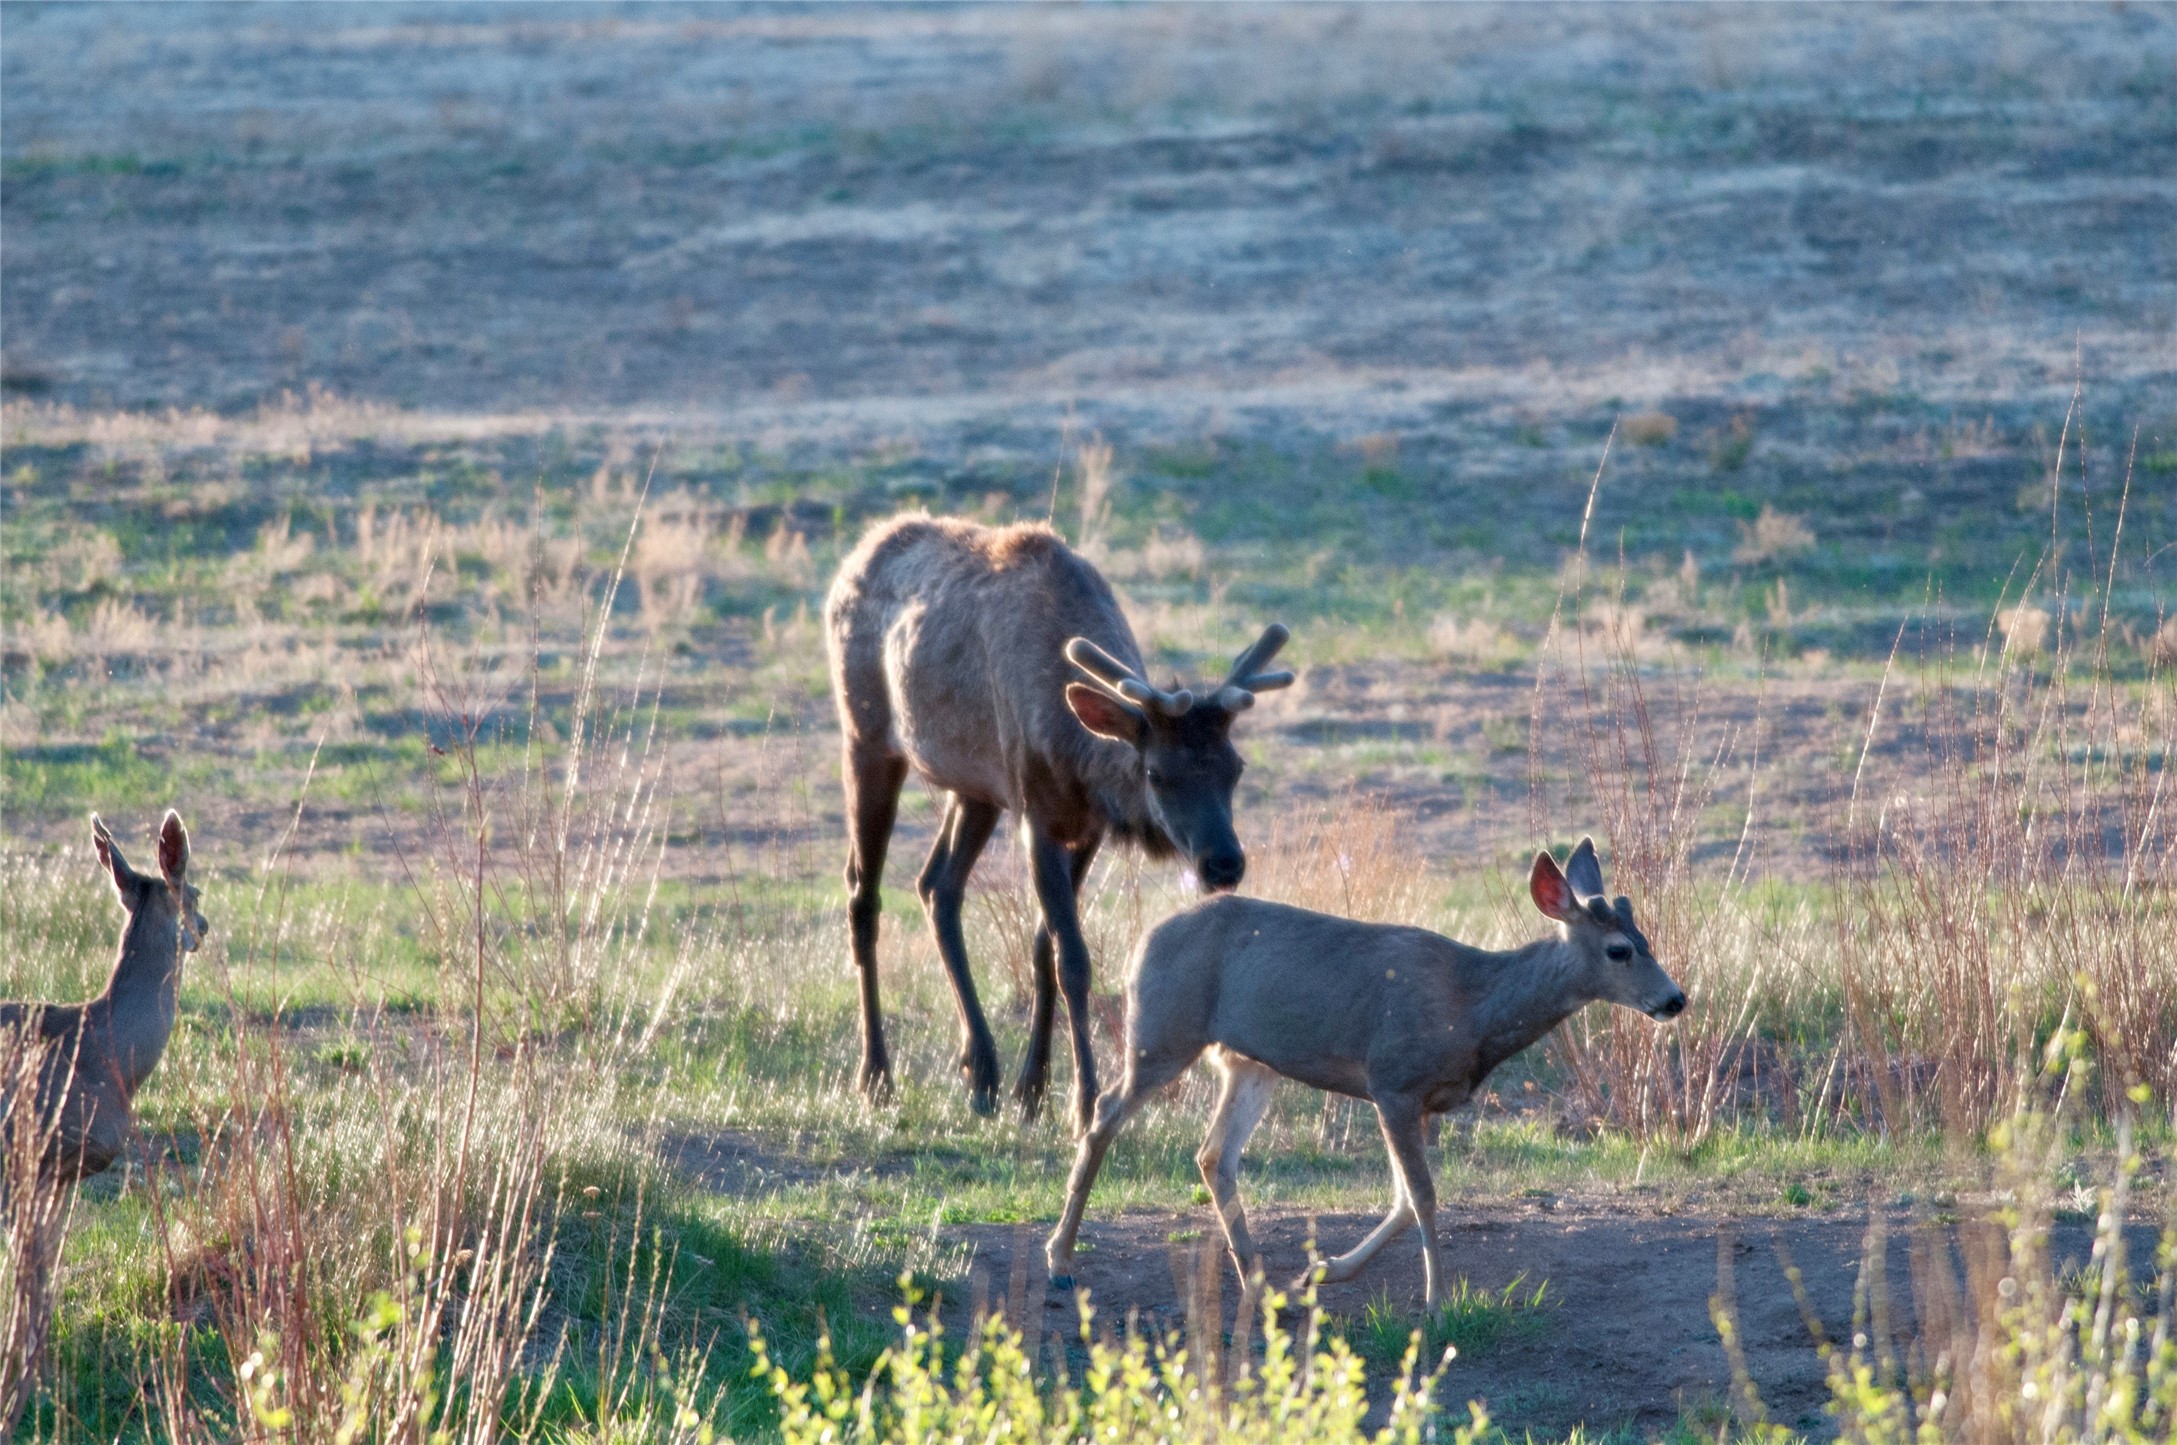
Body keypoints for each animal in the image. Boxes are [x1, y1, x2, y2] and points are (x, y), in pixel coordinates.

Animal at [822, 513, 1280, 1131]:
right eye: (1156, 774)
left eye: (1236, 768)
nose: (1224, 863)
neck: (1074, 749)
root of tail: (854, 557)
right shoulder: (1035, 813)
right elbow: (1074, 958)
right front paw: (1083, 1101)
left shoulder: (1085, 826)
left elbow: (1043, 947)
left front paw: (1032, 1090)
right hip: (868, 737)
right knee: (863, 893)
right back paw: (876, 1076)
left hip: (975, 787)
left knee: (937, 886)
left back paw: (981, 1070)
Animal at [1049, 831, 1680, 1305]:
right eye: (1620, 950)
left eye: (1647, 938)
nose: (1675, 999)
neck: (1472, 1007)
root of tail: (1141, 943)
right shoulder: (1393, 1080)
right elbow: (1422, 1197)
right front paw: (1436, 1302)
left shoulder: (1421, 1100)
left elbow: (1402, 1202)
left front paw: (1323, 1269)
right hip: (1162, 1031)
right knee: (1103, 1116)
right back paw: (1060, 1260)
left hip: (1250, 1062)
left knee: (1213, 1154)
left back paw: (1257, 1280)